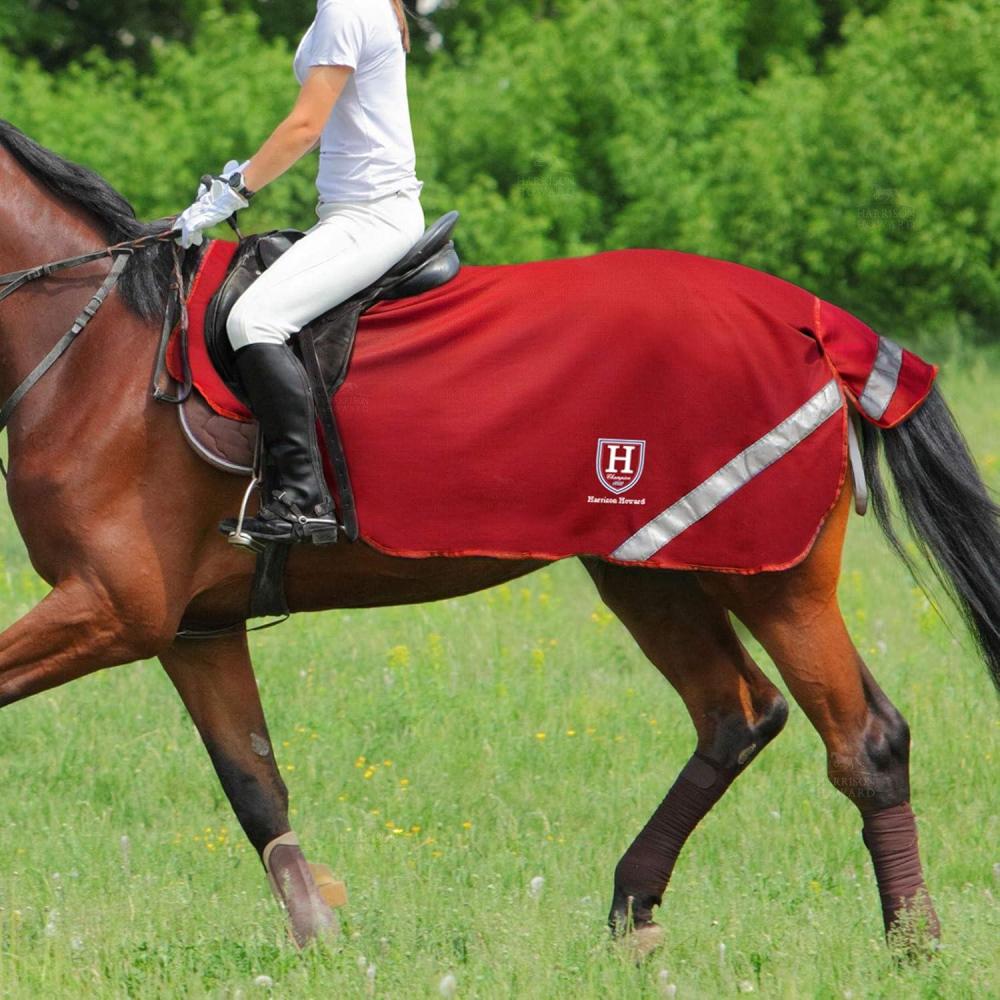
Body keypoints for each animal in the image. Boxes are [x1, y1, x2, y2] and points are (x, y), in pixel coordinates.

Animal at [0, 120, 998, 954]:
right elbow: (255, 786)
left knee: (863, 741)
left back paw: (913, 944)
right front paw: (320, 936)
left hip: (772, 581)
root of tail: (815, 322)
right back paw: (633, 913)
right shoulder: (193, 628)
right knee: (737, 715)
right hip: (655, 572)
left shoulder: (113, 609)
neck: (95, 354)